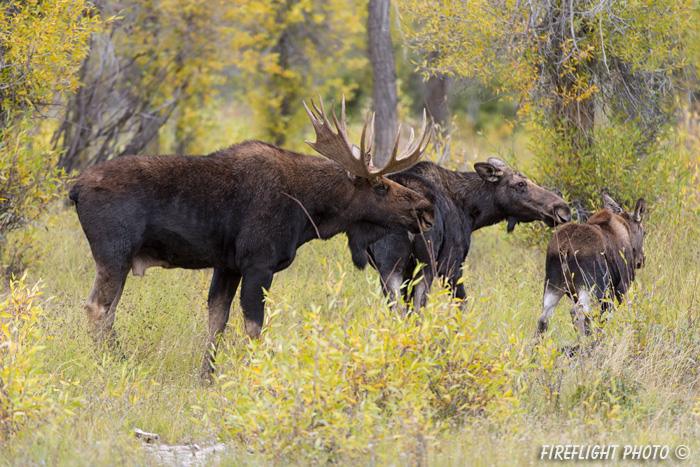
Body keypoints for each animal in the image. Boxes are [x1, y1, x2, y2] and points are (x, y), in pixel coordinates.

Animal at [71, 98, 432, 380]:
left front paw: (206, 377)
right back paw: (117, 364)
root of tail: (74, 189)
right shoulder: (259, 263)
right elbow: (254, 327)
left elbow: (217, 320)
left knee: (108, 310)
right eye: (380, 186)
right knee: (97, 307)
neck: (309, 212)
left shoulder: (228, 265)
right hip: (114, 253)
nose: (424, 209)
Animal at [364, 158, 572, 310]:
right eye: (520, 184)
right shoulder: (451, 263)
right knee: (418, 307)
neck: (471, 212)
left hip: (389, 267)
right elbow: (461, 304)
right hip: (425, 264)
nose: (562, 209)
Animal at [532, 194, 648, 340]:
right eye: (644, 233)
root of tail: (565, 248)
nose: (642, 259)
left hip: (553, 282)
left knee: (544, 316)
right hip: (591, 285)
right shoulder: (621, 286)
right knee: (578, 311)